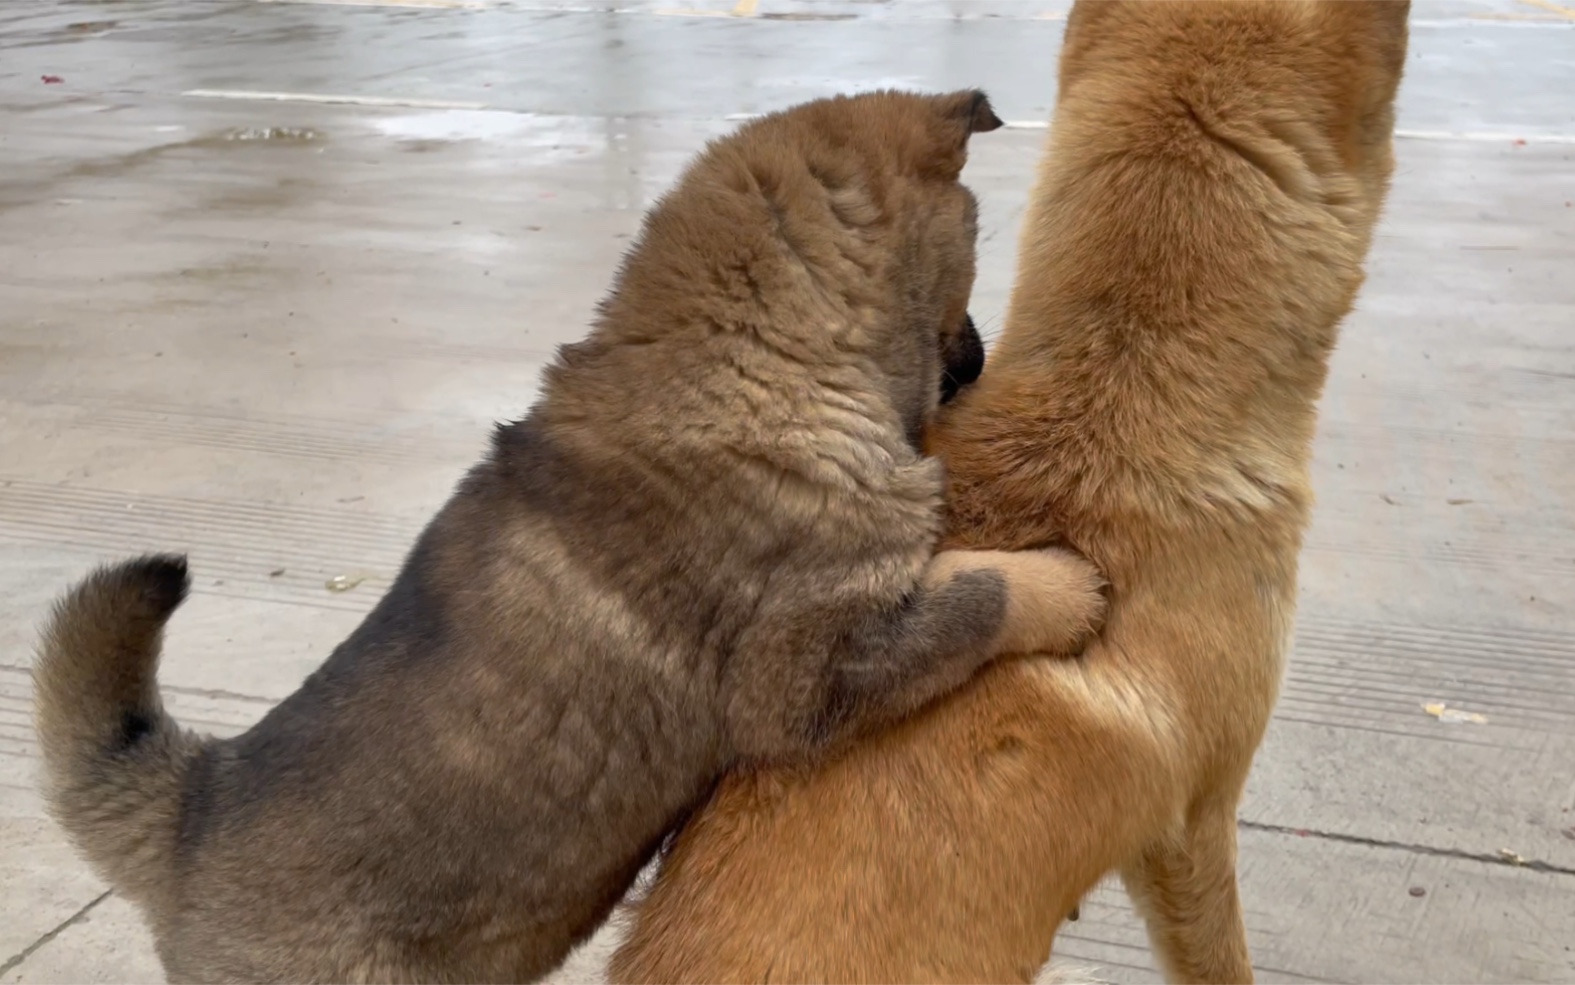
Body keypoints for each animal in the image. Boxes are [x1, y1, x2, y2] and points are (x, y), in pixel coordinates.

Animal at [27, 88, 1108, 977]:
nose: (980, 355)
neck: (751, 354)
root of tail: (192, 810)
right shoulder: (805, 678)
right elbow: (978, 595)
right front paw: (1062, 584)